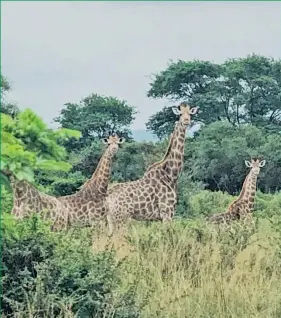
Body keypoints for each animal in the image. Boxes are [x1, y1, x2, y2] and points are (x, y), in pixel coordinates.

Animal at [105, 103, 197, 235]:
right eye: (180, 114)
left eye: (190, 113)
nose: (186, 121)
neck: (170, 175)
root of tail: (108, 197)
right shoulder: (166, 212)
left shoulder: (165, 215)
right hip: (122, 218)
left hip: (111, 219)